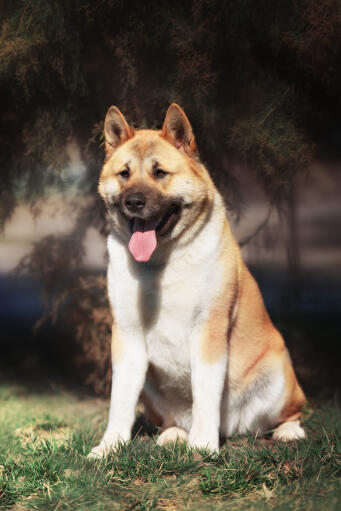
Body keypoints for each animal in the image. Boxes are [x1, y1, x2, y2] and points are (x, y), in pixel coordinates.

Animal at [88, 102, 306, 458]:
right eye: (124, 173)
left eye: (160, 172)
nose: (133, 201)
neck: (162, 262)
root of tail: (233, 428)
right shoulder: (127, 335)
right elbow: (119, 401)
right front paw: (109, 447)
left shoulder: (209, 328)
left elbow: (205, 390)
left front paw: (203, 445)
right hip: (151, 388)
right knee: (169, 418)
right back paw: (174, 434)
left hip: (278, 375)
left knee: (289, 413)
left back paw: (288, 432)